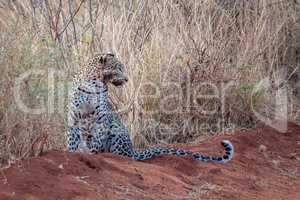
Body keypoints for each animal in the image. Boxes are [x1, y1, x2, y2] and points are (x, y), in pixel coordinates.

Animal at [67, 52, 233, 162]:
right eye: (118, 68)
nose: (126, 79)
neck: (94, 83)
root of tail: (132, 149)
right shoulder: (73, 117)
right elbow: (72, 140)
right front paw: (71, 153)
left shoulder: (102, 117)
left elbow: (97, 140)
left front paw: (91, 154)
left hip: (117, 129)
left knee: (123, 155)